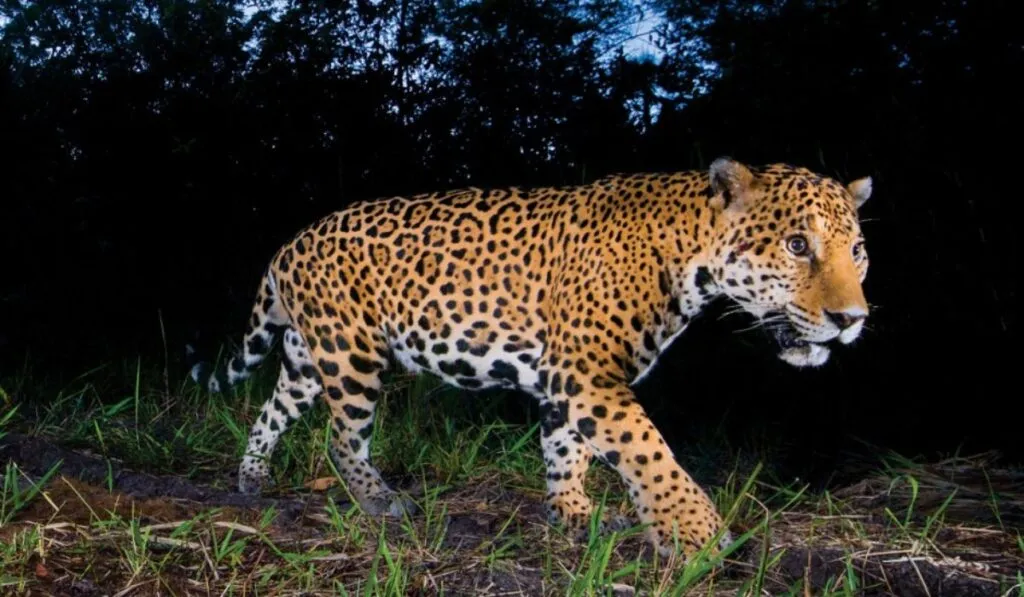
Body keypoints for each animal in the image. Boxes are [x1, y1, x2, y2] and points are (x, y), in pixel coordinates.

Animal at [188, 157, 874, 559]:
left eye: (858, 252)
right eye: (797, 245)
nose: (853, 321)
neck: (691, 255)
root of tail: (288, 243)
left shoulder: (567, 380)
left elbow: (566, 450)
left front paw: (573, 515)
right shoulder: (589, 374)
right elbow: (650, 452)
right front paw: (697, 534)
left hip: (310, 358)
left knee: (273, 410)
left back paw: (251, 478)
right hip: (351, 355)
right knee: (341, 439)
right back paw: (381, 502)